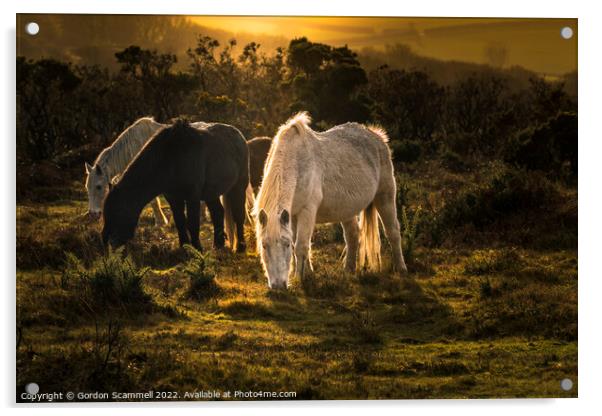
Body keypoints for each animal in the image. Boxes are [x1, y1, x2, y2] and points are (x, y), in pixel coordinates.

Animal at [102, 118, 247, 252]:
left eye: (118, 211)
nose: (109, 243)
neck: (171, 158)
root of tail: (238, 135)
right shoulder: (173, 197)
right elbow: (180, 222)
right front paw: (184, 247)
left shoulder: (192, 197)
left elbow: (192, 223)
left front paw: (197, 249)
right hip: (211, 193)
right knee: (218, 212)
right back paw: (218, 245)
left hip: (239, 186)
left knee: (239, 214)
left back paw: (240, 247)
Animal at [253, 112, 408, 290]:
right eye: (264, 245)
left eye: (284, 244)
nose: (278, 286)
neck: (297, 162)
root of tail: (376, 136)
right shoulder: (292, 215)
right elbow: (301, 246)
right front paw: (306, 275)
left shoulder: (307, 211)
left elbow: (300, 246)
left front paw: (299, 279)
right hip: (347, 209)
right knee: (353, 235)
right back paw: (349, 269)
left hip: (385, 196)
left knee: (393, 232)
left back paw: (401, 268)